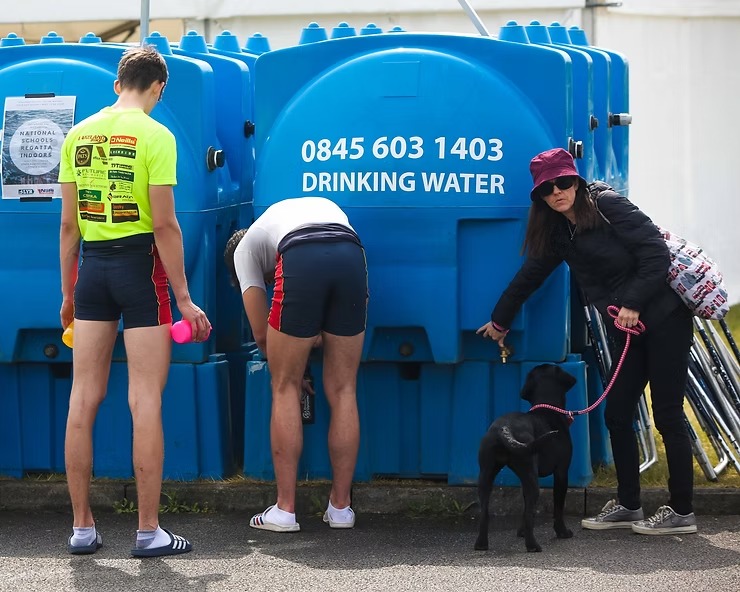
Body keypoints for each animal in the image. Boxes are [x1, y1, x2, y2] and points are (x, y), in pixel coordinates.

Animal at [474, 363, 577, 553]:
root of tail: (504, 429)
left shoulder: (524, 479)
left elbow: (524, 506)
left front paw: (520, 531)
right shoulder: (561, 472)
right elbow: (558, 507)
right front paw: (562, 532)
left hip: (486, 475)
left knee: (484, 512)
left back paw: (481, 544)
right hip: (531, 477)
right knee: (531, 513)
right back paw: (533, 545)